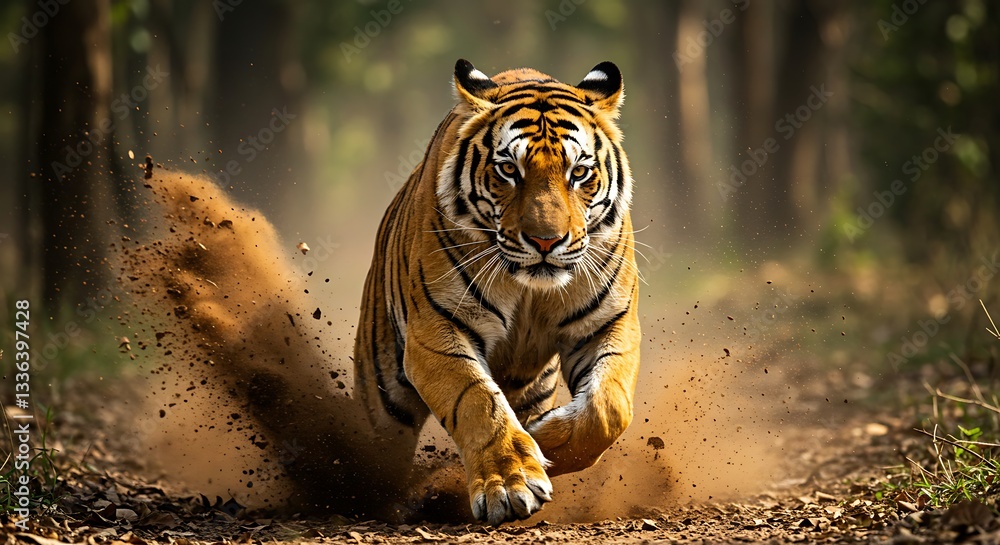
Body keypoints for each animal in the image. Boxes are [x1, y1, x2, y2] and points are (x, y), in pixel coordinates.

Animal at [354, 59, 641, 525]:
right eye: (509, 170)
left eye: (578, 172)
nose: (546, 241)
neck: (531, 289)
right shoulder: (436, 332)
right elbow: (477, 403)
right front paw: (510, 483)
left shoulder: (608, 324)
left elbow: (608, 409)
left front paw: (545, 439)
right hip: (380, 397)